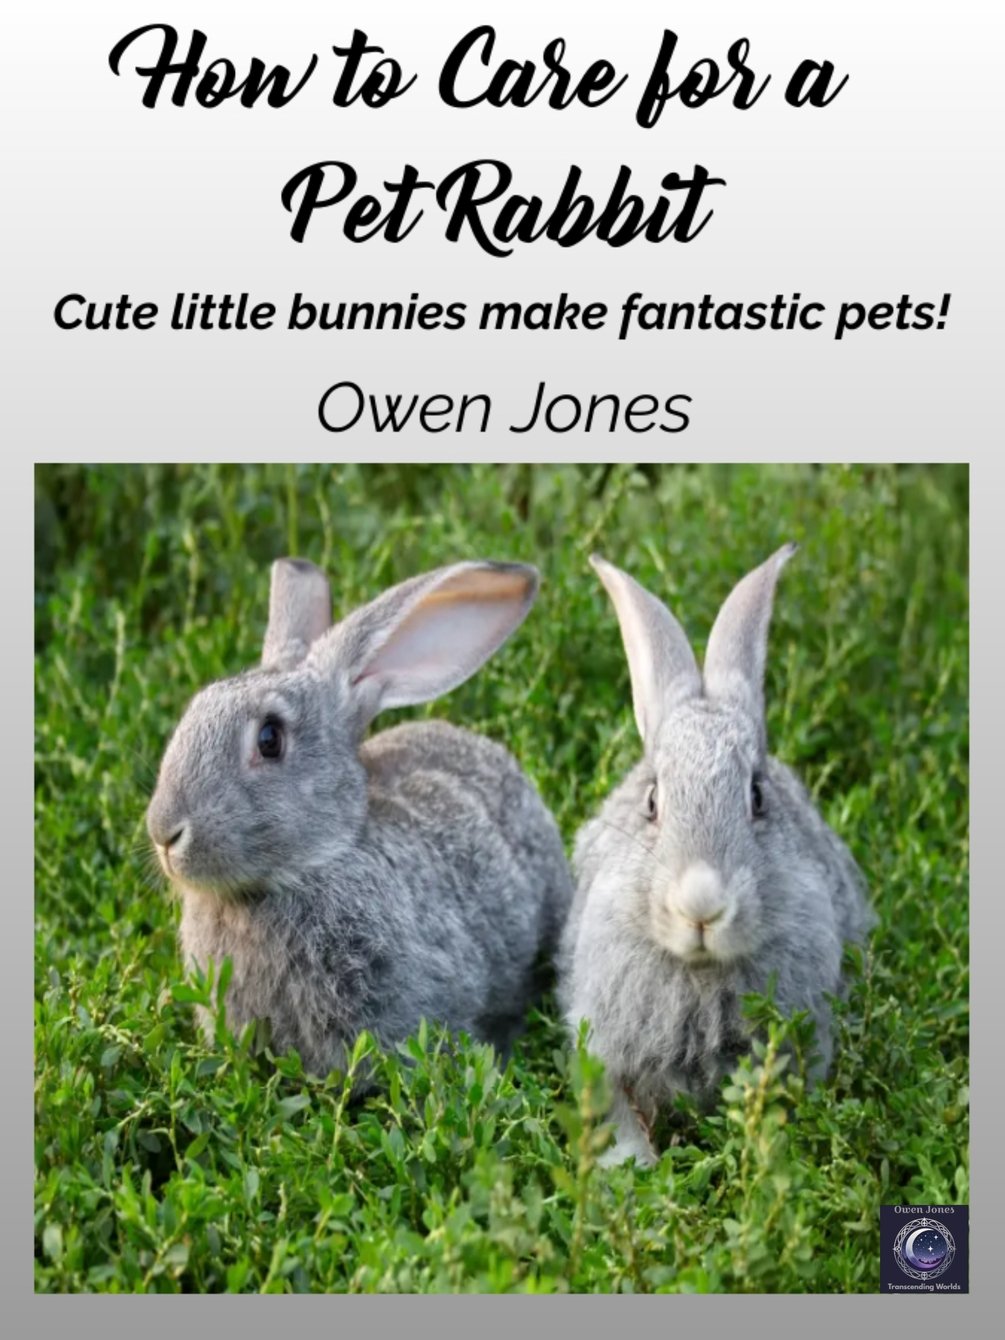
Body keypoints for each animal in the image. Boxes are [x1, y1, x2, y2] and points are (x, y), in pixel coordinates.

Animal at [558, 545, 873, 1166]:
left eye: (757, 796)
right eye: (653, 801)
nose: (701, 905)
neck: (699, 972)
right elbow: (617, 1114)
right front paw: (633, 1167)